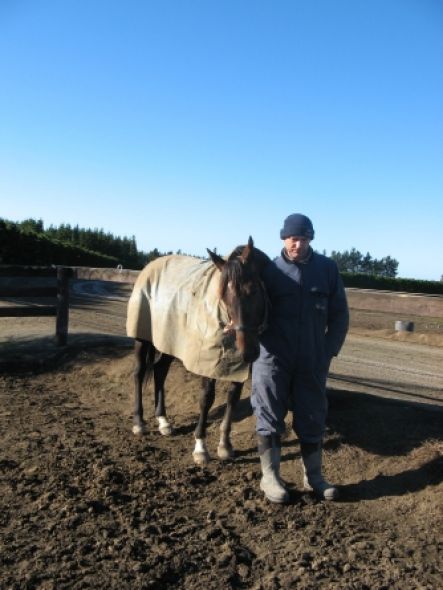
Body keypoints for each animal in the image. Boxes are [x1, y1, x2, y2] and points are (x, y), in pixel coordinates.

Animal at [125, 237, 270, 468]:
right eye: (224, 297)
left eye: (254, 290)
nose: (247, 351)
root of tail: (150, 266)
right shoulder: (207, 362)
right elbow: (206, 399)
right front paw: (201, 448)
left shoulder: (238, 368)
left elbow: (233, 398)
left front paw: (225, 445)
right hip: (142, 337)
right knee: (139, 373)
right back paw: (139, 423)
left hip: (169, 340)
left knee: (160, 371)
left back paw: (163, 421)